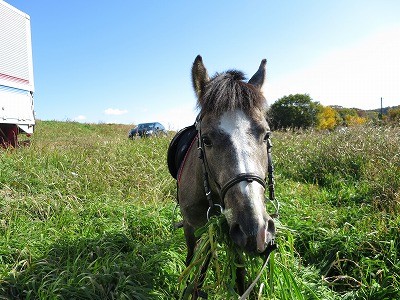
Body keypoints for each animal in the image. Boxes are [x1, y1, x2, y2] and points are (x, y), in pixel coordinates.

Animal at [167, 55, 276, 298]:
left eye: (266, 135)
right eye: (206, 140)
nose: (254, 230)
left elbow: (239, 276)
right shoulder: (192, 226)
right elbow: (194, 262)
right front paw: (188, 287)